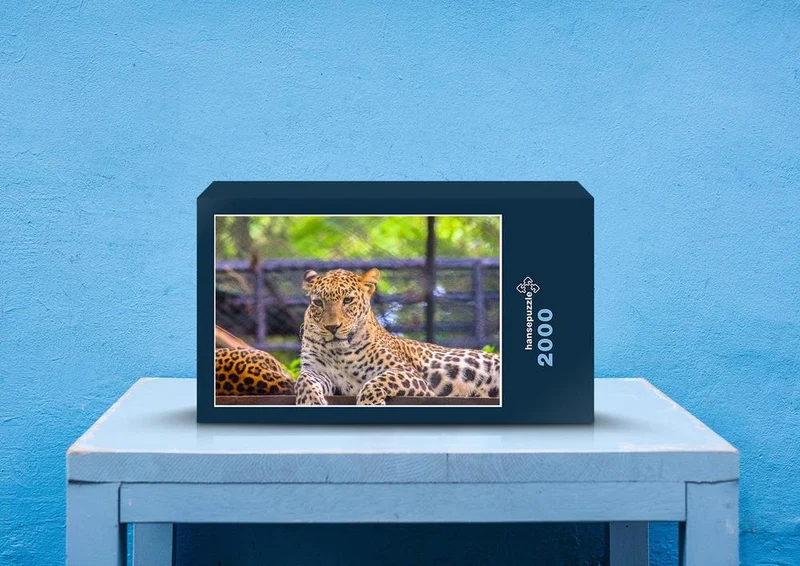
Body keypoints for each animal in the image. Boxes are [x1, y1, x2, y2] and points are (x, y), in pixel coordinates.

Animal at [295, 268, 500, 405]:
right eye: (318, 303)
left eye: (347, 300)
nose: (332, 327)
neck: (340, 352)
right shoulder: (317, 370)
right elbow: (303, 381)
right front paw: (311, 402)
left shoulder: (410, 375)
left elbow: (378, 381)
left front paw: (369, 404)